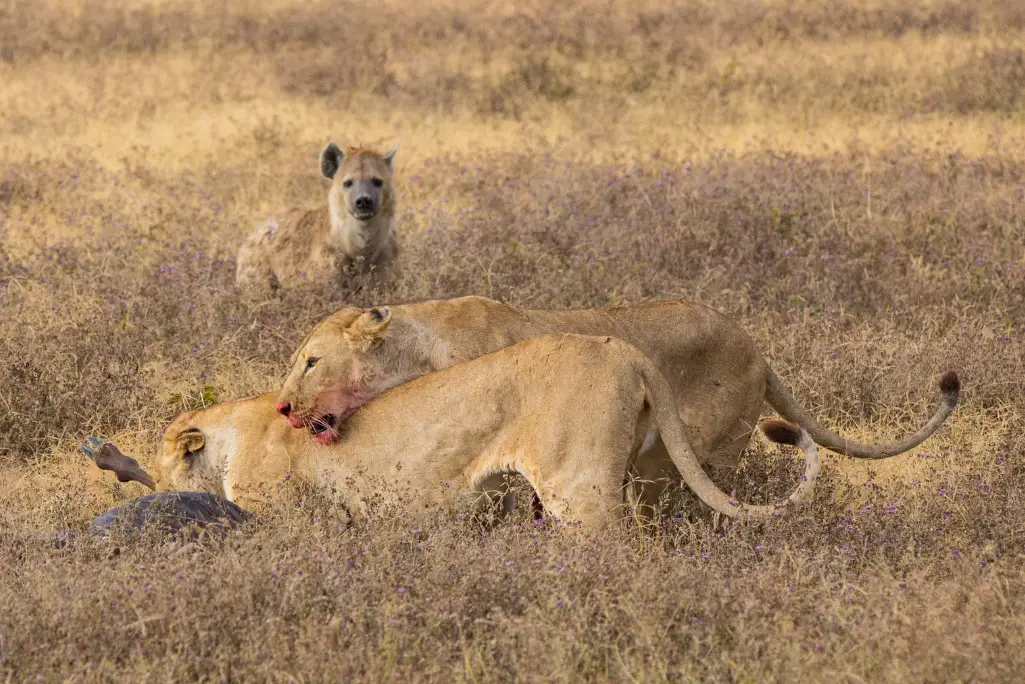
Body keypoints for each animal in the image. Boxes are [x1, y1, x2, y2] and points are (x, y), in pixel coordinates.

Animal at [96, 335, 820, 529]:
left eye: (165, 465)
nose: (147, 489)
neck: (231, 430)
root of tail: (623, 348)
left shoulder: (280, 515)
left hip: (575, 484)